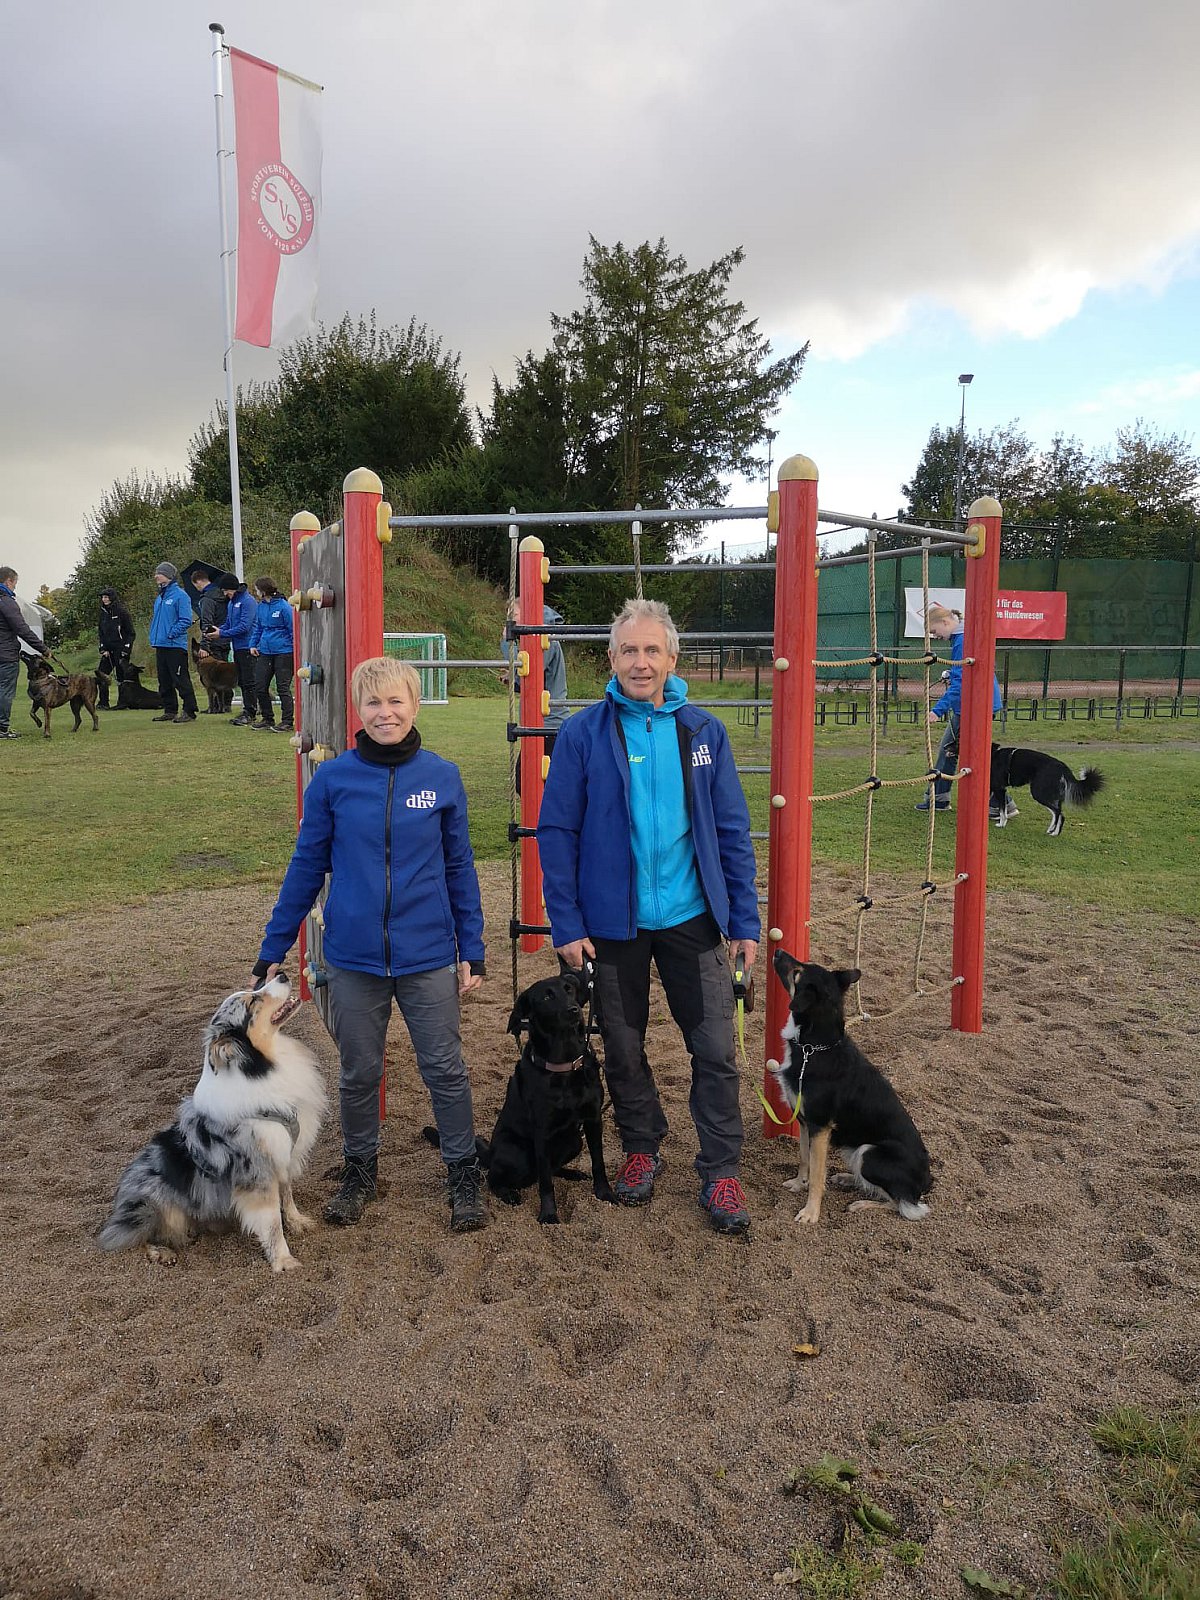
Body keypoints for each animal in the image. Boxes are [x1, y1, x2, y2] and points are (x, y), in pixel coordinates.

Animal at [99, 975, 328, 1272]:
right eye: (252, 1001)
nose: (282, 975)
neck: (260, 1067)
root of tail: (119, 1203)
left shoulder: (282, 1156)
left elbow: (287, 1197)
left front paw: (297, 1221)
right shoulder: (258, 1173)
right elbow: (272, 1224)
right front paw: (283, 1260)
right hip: (155, 1202)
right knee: (133, 1237)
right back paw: (162, 1252)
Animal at [770, 952, 931, 1227]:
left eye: (798, 972)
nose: (778, 952)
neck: (813, 1047)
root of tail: (925, 1183)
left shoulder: (820, 1127)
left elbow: (817, 1174)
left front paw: (811, 1212)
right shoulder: (805, 1122)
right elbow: (804, 1158)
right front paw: (799, 1183)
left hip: (869, 1152)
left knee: (902, 1204)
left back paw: (861, 1203)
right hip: (856, 1150)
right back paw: (847, 1178)